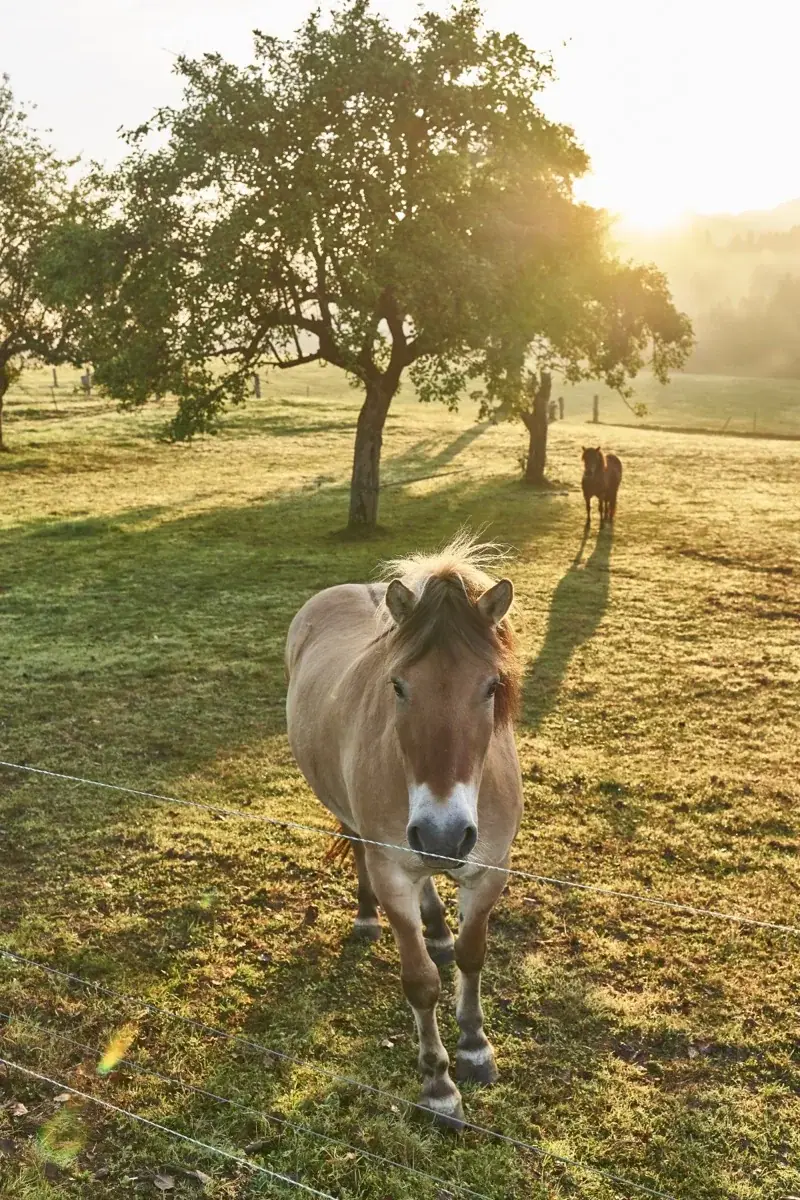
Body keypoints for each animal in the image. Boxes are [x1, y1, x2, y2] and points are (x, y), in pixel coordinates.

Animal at [285, 537, 523, 1127]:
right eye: (397, 685)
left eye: (492, 686)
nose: (443, 834)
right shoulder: (393, 870)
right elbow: (420, 981)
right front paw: (438, 1085)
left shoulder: (489, 870)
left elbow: (472, 955)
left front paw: (475, 1048)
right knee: (358, 850)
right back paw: (367, 918)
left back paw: (436, 926)